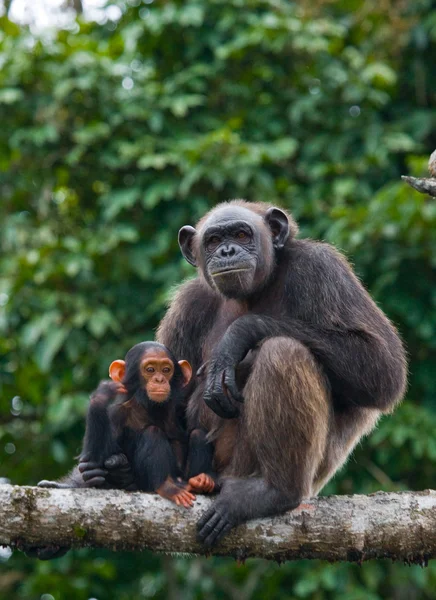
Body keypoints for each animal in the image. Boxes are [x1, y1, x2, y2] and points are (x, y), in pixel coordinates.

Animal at [155, 199, 408, 548]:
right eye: (213, 241)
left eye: (241, 234)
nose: (227, 251)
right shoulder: (187, 306)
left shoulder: (323, 268)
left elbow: (383, 367)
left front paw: (238, 336)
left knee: (283, 352)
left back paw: (274, 492)